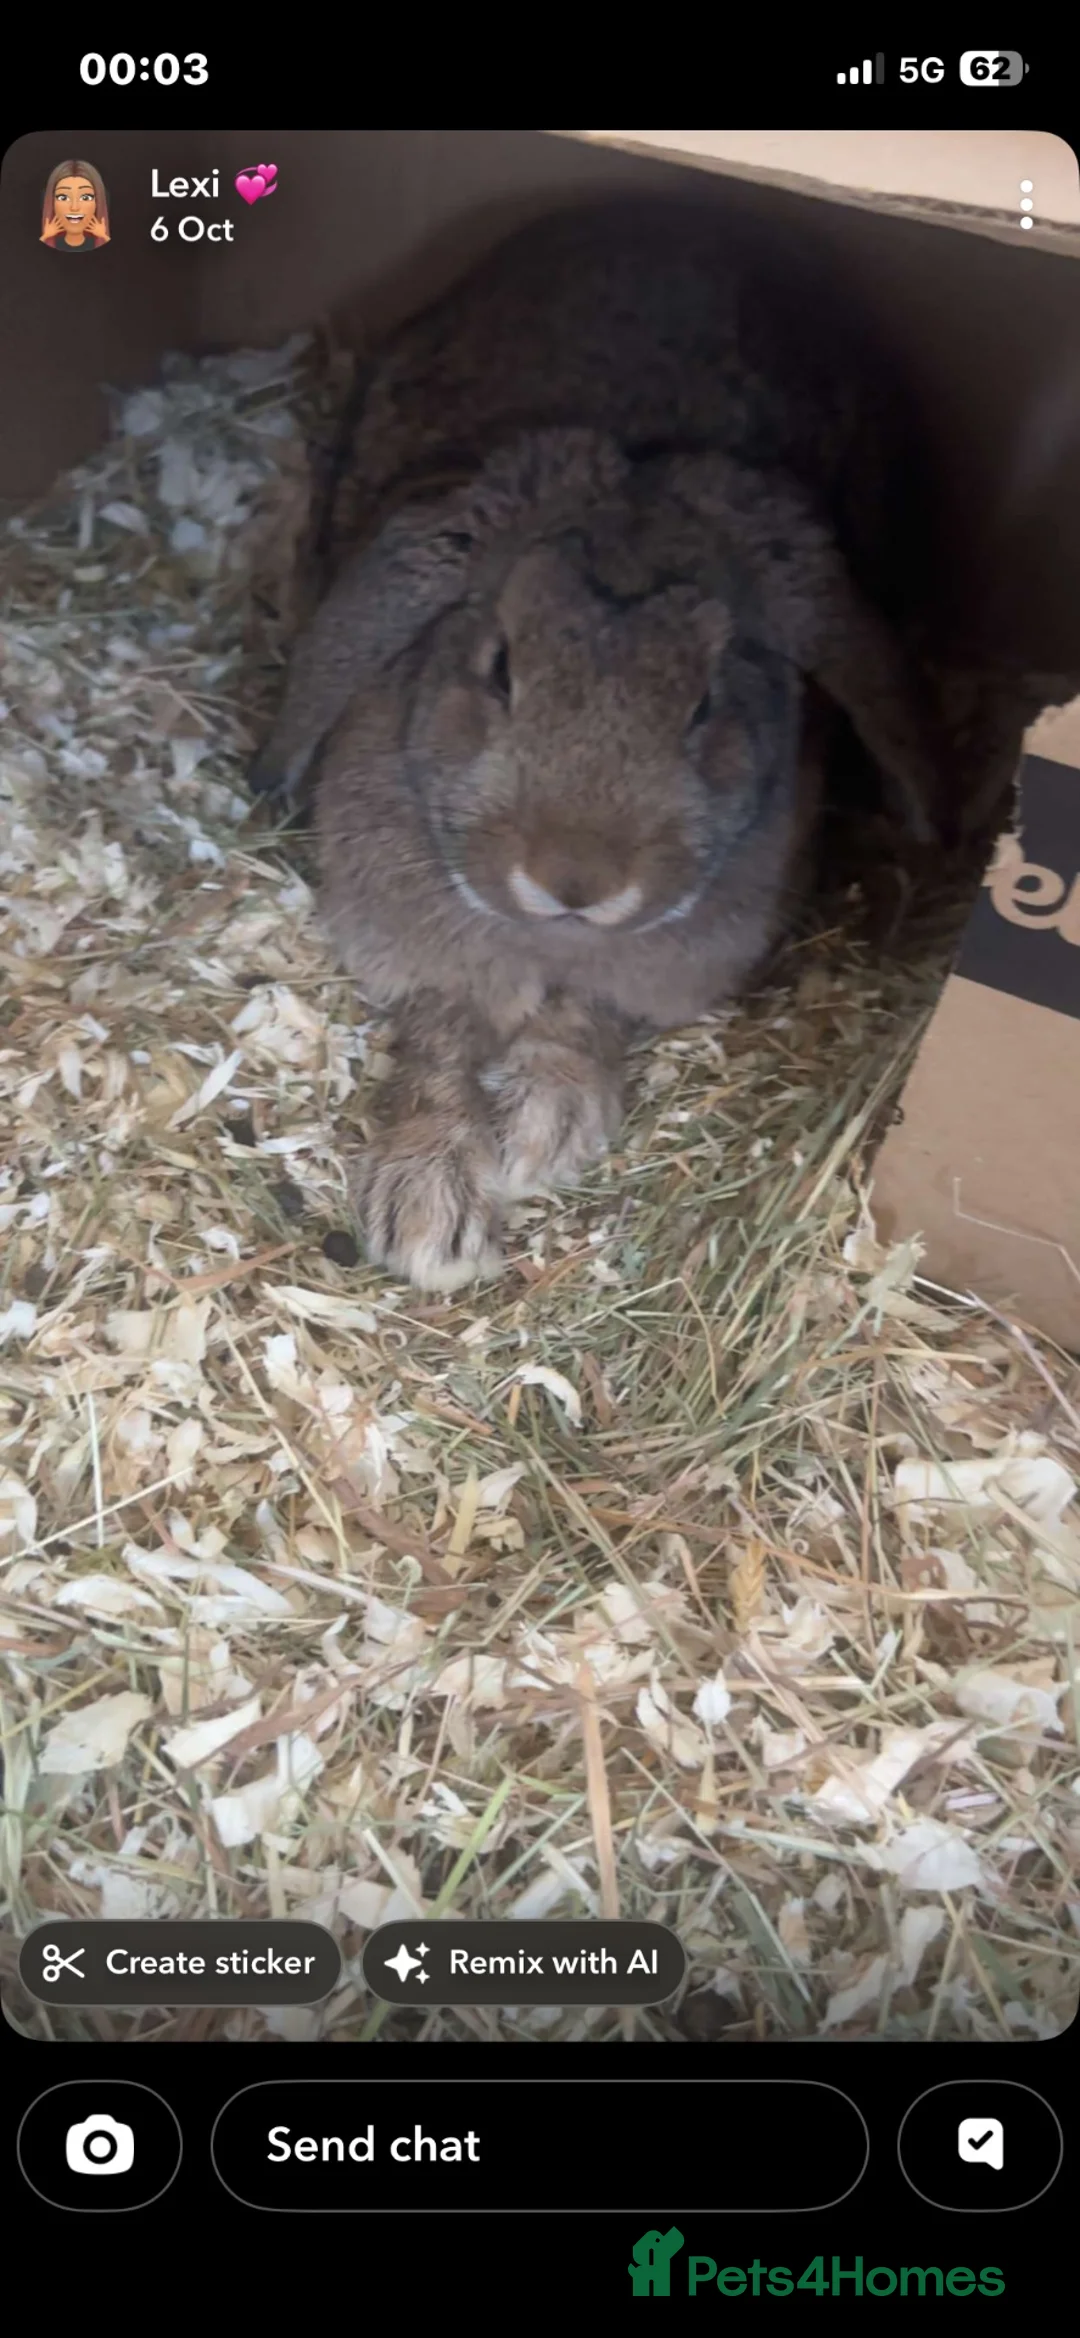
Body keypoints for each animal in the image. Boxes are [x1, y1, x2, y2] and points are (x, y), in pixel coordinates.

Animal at [249, 199, 970, 1292]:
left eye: (707, 700)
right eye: (501, 665)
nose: (576, 877)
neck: (553, 935)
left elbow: (584, 1020)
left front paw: (545, 1123)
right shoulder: (422, 955)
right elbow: (437, 1041)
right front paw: (427, 1208)